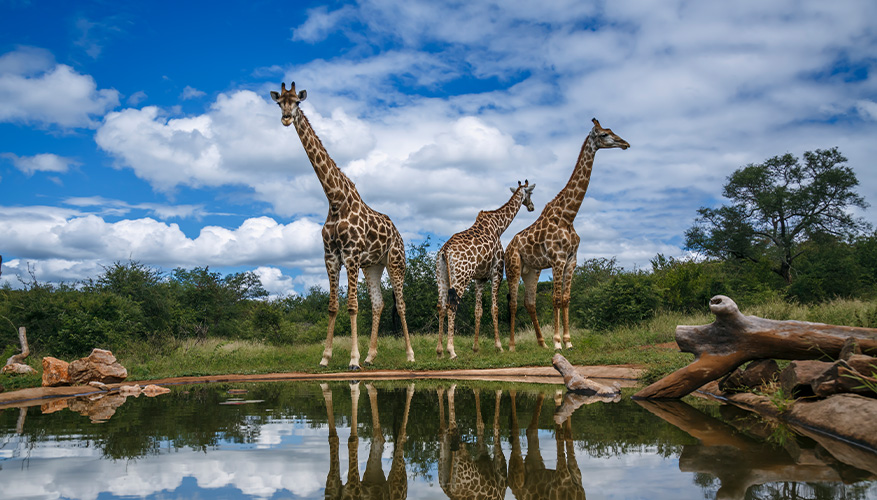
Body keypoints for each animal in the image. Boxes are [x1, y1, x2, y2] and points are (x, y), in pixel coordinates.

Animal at [272, 82, 414, 369]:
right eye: (279, 102)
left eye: (297, 102)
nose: (286, 118)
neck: (335, 199)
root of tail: (397, 233)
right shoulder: (330, 256)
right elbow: (333, 306)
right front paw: (326, 357)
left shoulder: (350, 255)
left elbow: (352, 305)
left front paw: (353, 359)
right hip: (373, 265)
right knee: (379, 303)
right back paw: (372, 356)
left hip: (395, 261)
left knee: (401, 304)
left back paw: (409, 354)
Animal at [436, 181, 536, 359]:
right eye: (530, 193)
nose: (532, 206)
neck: (499, 226)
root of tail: (445, 251)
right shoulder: (496, 272)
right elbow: (494, 308)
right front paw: (499, 346)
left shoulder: (479, 278)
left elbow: (478, 310)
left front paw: (475, 348)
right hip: (461, 277)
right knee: (451, 306)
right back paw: (451, 351)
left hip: (442, 276)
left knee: (441, 306)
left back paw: (439, 351)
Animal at [505, 118, 629, 351]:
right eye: (603, 134)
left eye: (611, 130)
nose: (625, 143)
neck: (568, 216)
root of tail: (508, 246)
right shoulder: (557, 259)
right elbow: (555, 298)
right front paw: (557, 342)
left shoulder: (572, 260)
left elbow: (566, 298)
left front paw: (568, 341)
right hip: (513, 267)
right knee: (513, 302)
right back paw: (511, 346)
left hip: (532, 270)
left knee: (529, 302)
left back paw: (541, 343)